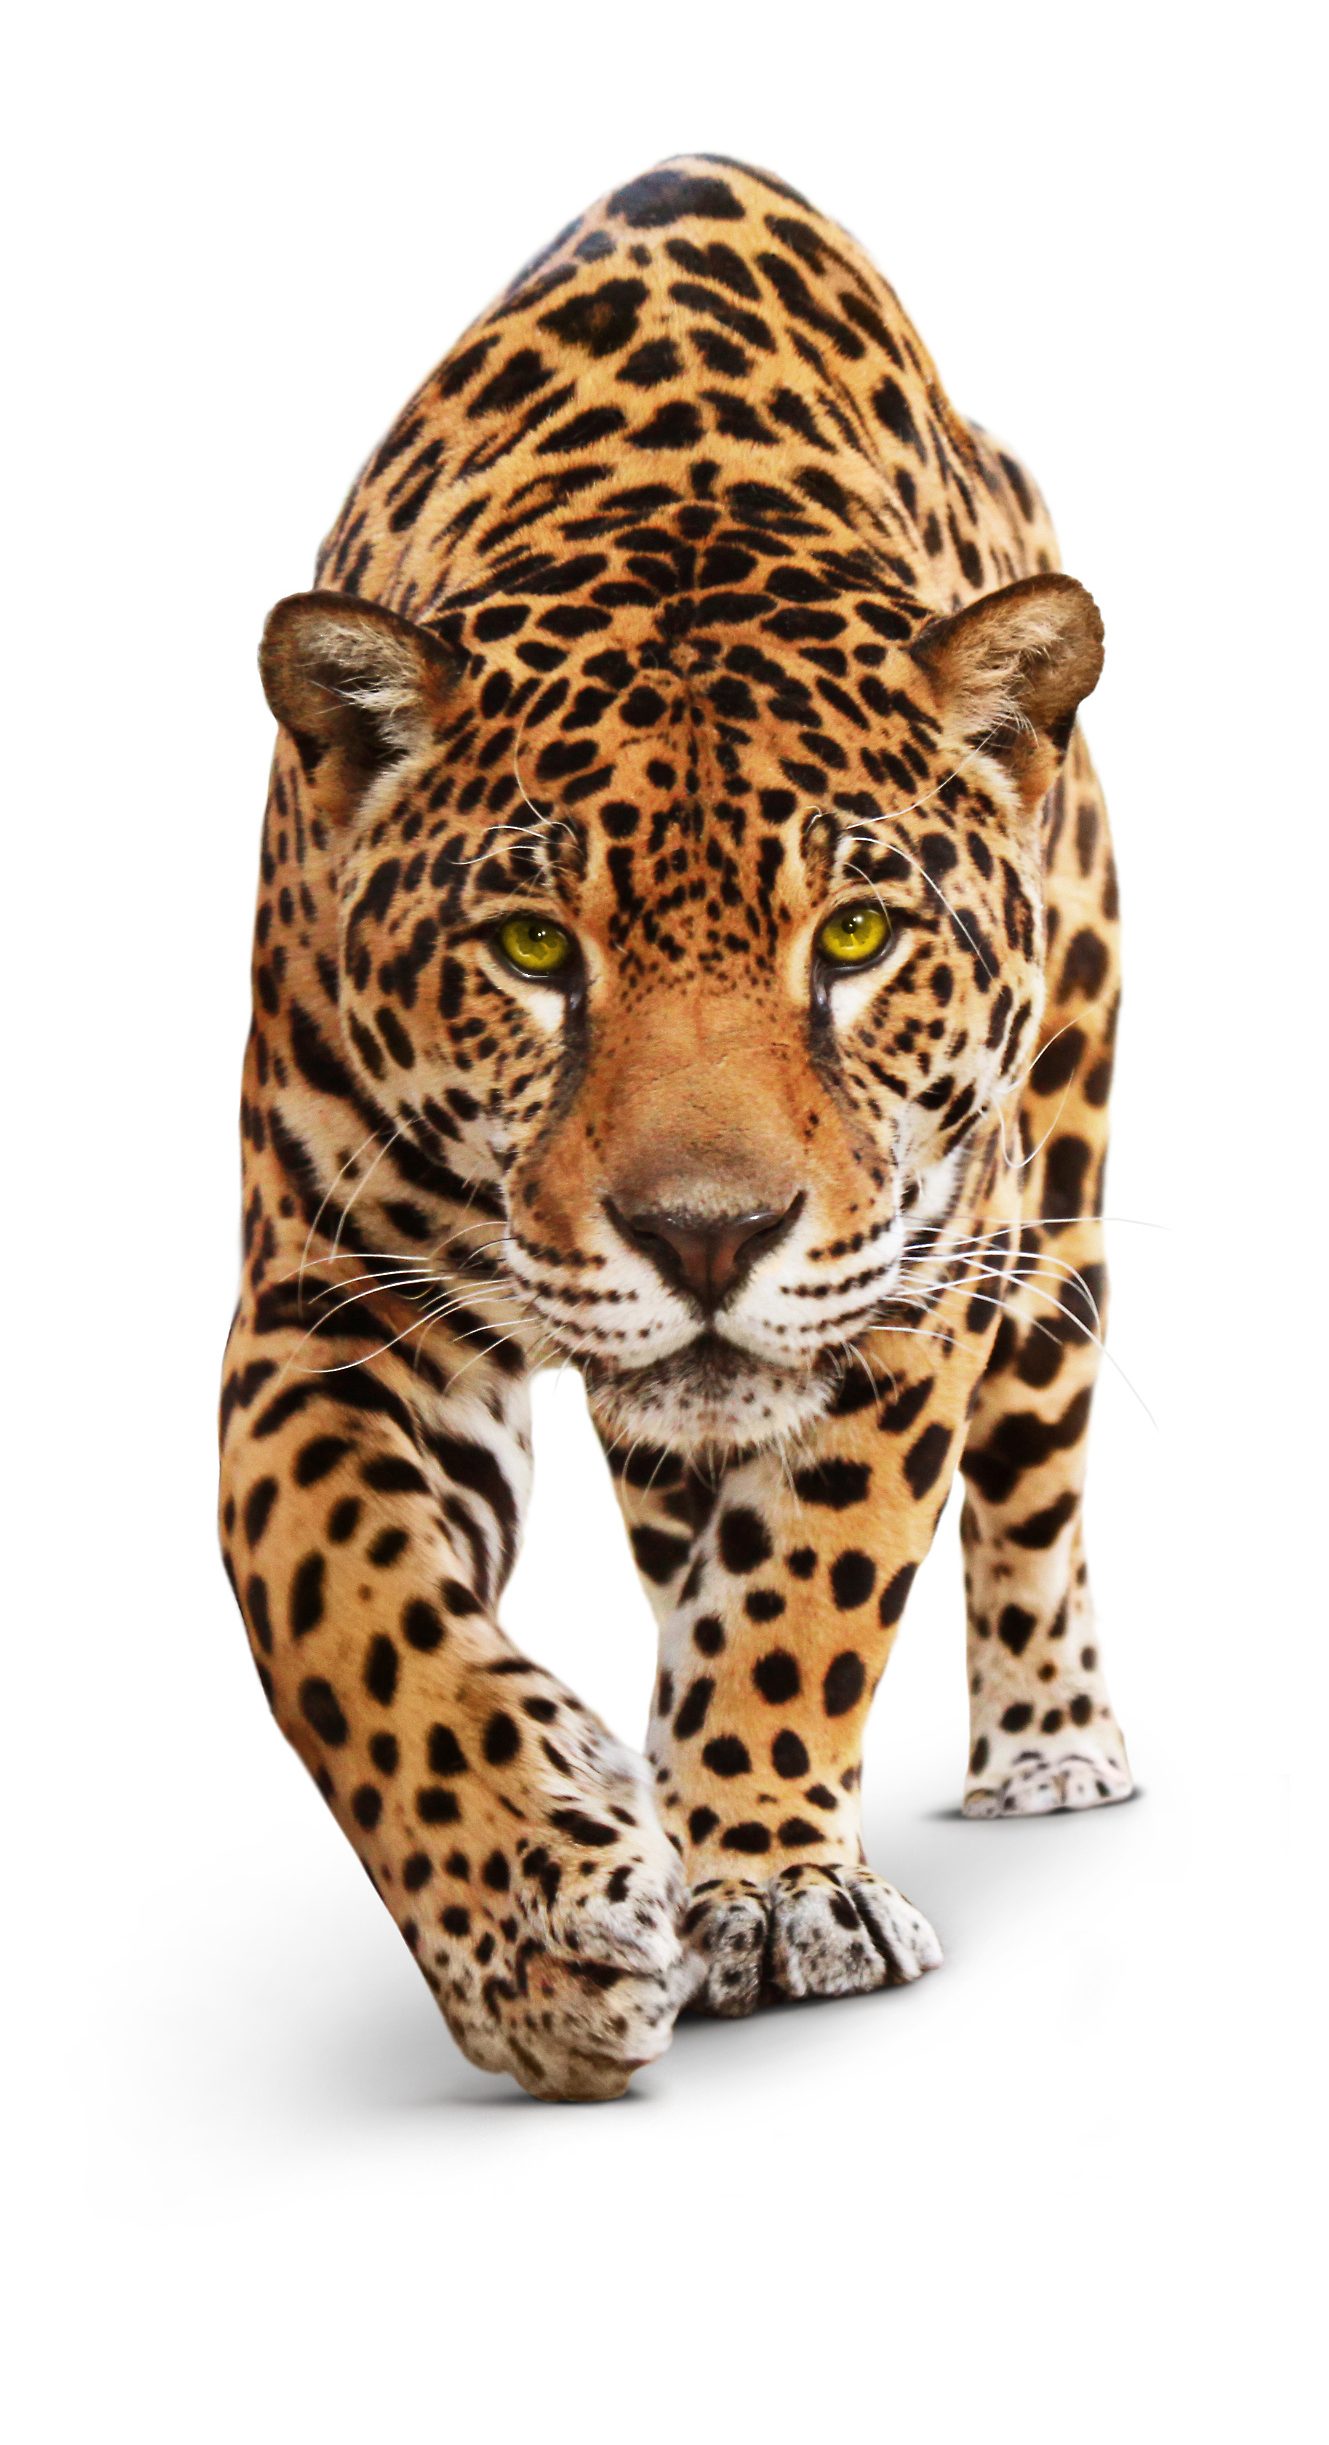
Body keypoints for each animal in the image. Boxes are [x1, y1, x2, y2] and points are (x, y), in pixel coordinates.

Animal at [219, 155, 1132, 2102]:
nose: (704, 1236)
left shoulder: (918, 1267)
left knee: (1028, 1486)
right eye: (529, 949)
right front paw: (535, 1930)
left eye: (852, 939)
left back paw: (1046, 1745)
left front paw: (772, 1889)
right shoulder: (326, 1302)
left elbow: (814, 1575)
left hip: (1061, 1203)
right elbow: (341, 1609)